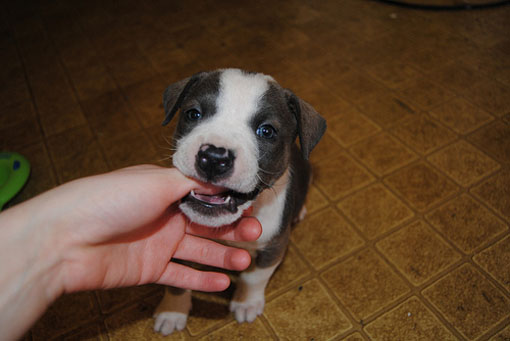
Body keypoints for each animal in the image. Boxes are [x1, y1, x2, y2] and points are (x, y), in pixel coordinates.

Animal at [153, 67, 324, 334]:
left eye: (266, 131)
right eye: (193, 114)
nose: (214, 157)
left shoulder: (274, 245)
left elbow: (254, 277)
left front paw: (246, 303)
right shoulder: (180, 243)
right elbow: (176, 280)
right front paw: (172, 310)